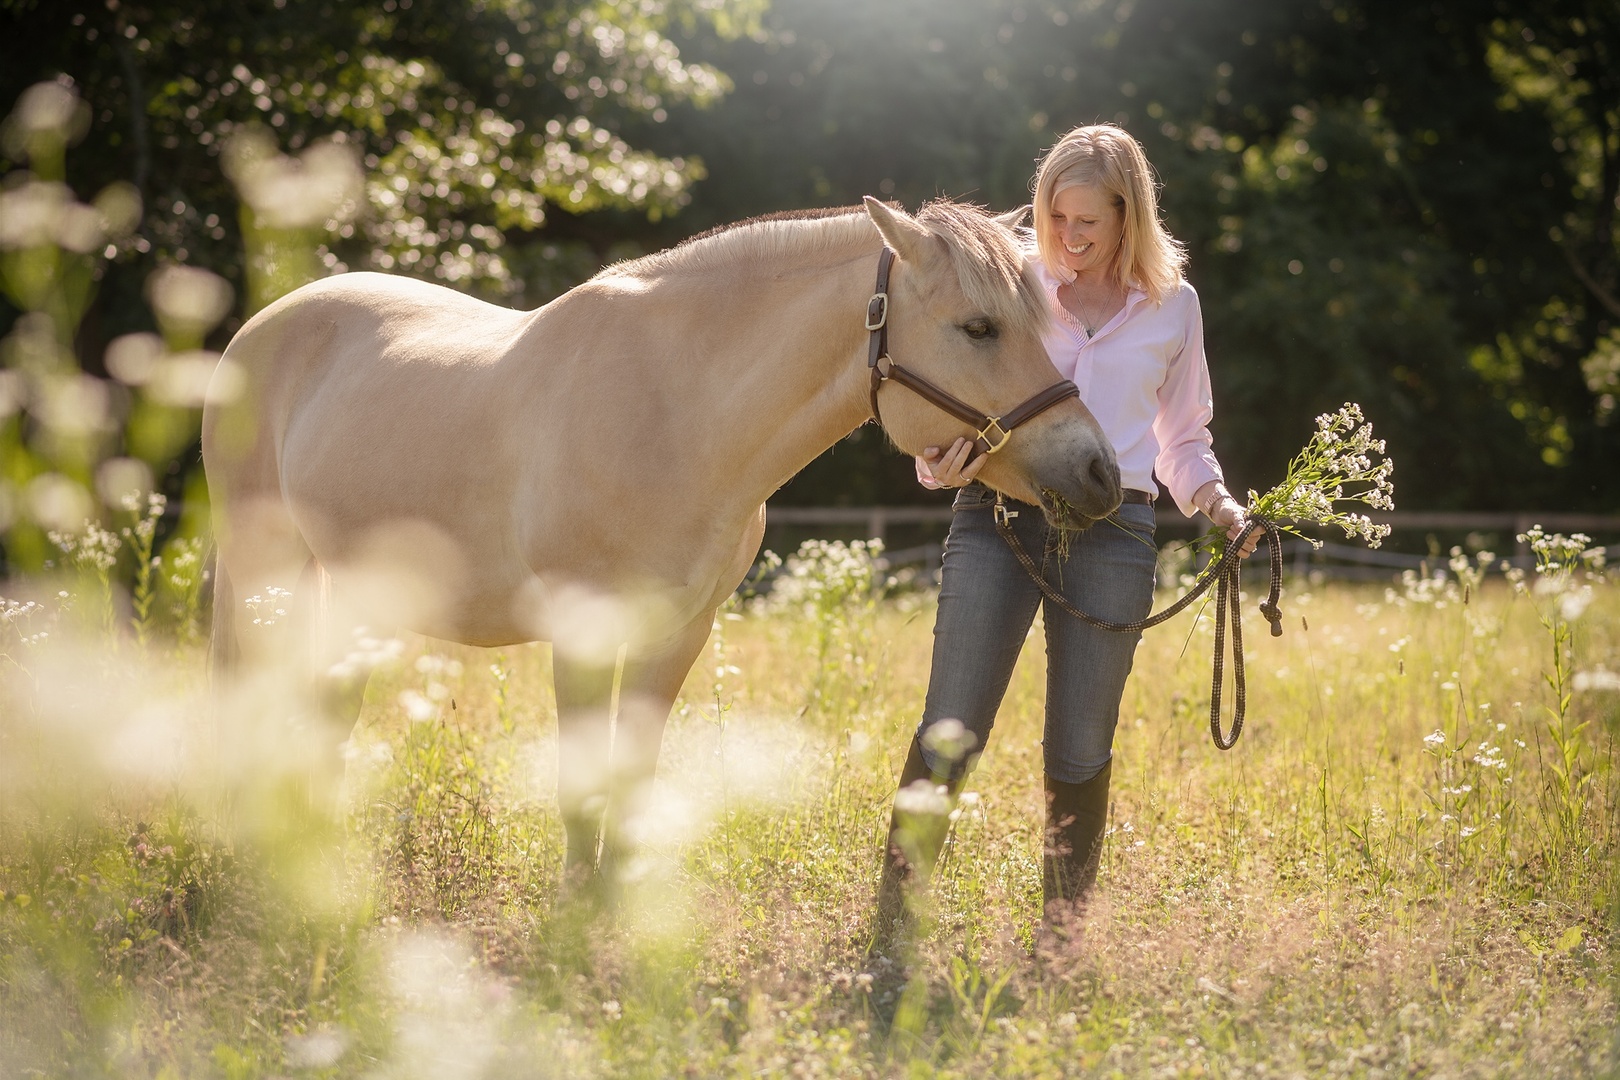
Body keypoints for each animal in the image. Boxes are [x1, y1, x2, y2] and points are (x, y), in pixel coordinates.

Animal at [201, 196, 1122, 883]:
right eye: (979, 328)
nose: (1100, 470)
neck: (676, 412)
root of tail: (265, 325)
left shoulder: (679, 635)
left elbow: (633, 782)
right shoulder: (579, 634)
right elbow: (581, 790)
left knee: (329, 710)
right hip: (263, 574)